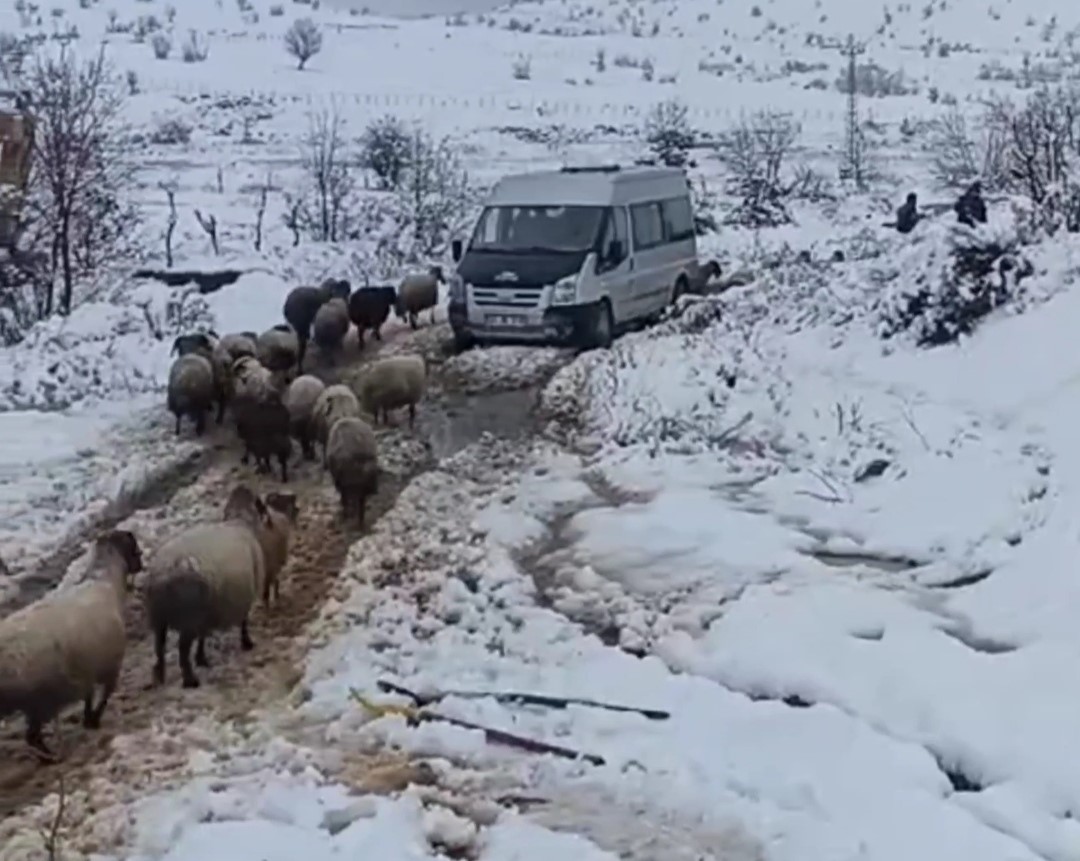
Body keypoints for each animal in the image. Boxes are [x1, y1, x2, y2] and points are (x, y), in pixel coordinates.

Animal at [0, 531, 142, 760]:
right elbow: (105, 694)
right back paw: (49, 758)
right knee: (32, 736)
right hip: (40, 699)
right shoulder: (110, 665)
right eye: (134, 546)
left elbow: (89, 696)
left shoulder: (88, 669)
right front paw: (94, 720)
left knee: (32, 736)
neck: (105, 582)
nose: (140, 565)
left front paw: (88, 719)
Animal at [142, 486, 268, 687]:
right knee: (182, 649)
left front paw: (201, 659)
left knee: (159, 647)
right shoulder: (248, 593)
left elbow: (203, 634)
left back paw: (159, 676)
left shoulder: (209, 610)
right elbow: (244, 621)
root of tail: (165, 569)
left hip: (158, 616)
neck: (239, 522)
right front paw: (247, 643)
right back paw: (190, 680)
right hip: (188, 616)